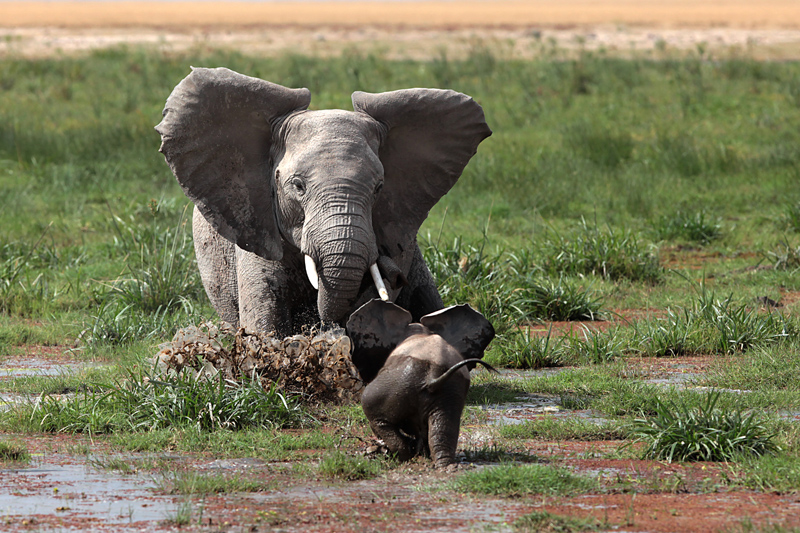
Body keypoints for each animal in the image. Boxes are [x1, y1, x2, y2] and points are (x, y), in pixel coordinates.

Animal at [348, 300, 496, 466]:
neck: (421, 330)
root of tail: (432, 376)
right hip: (449, 391)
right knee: (443, 427)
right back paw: (443, 465)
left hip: (393, 389)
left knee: (378, 419)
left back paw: (401, 455)